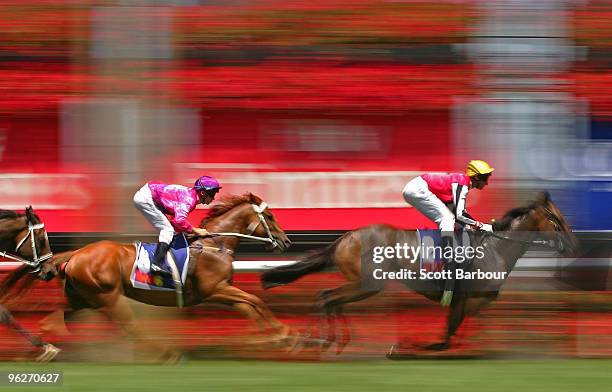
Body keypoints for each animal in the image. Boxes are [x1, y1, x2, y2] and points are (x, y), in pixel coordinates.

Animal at [262, 193, 580, 356]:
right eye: (555, 219)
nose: (573, 244)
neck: (496, 249)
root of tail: (345, 237)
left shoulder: (472, 301)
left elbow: (455, 332)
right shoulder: (465, 297)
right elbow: (447, 336)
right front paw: (406, 345)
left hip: (362, 284)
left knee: (330, 299)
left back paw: (332, 340)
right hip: (368, 283)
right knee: (326, 296)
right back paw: (324, 341)